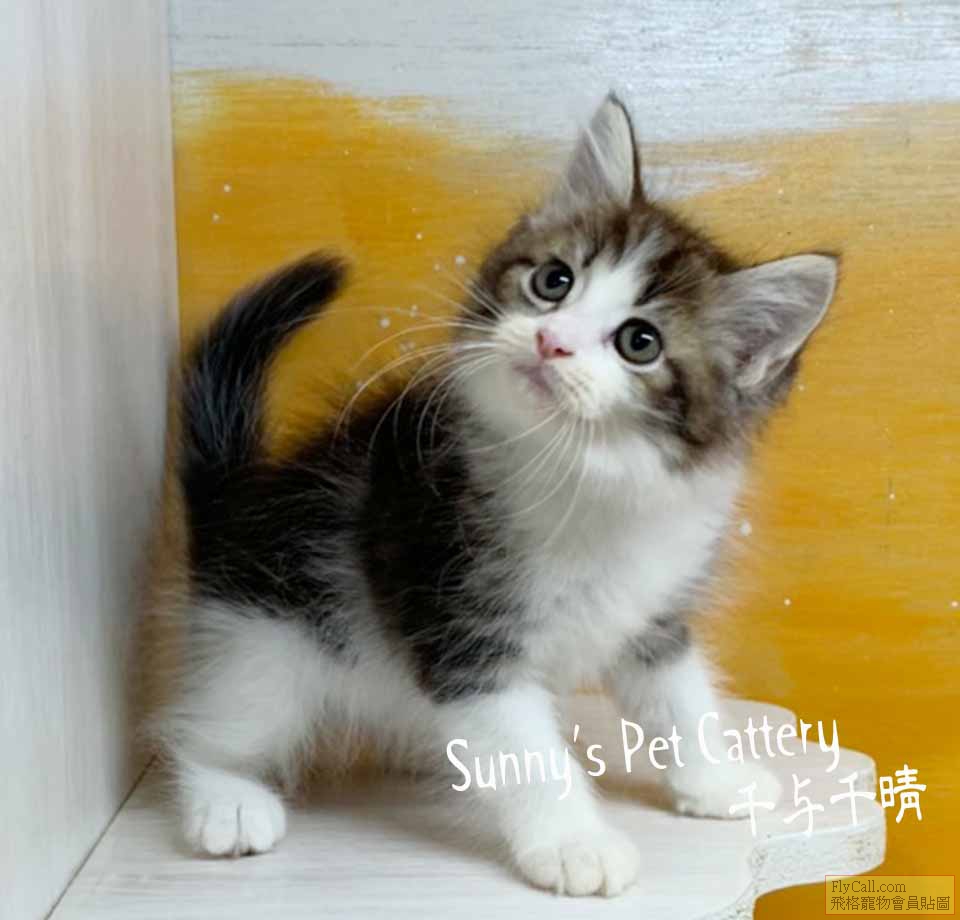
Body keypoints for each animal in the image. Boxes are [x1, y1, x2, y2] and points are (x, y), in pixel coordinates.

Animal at [156, 93, 836, 897]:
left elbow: (679, 693)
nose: (551, 341)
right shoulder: (459, 618)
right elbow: (528, 753)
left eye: (639, 342)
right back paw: (225, 797)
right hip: (273, 639)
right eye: (554, 281)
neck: (588, 478)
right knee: (204, 729)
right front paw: (575, 844)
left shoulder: (655, 608)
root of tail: (235, 505)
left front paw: (716, 779)